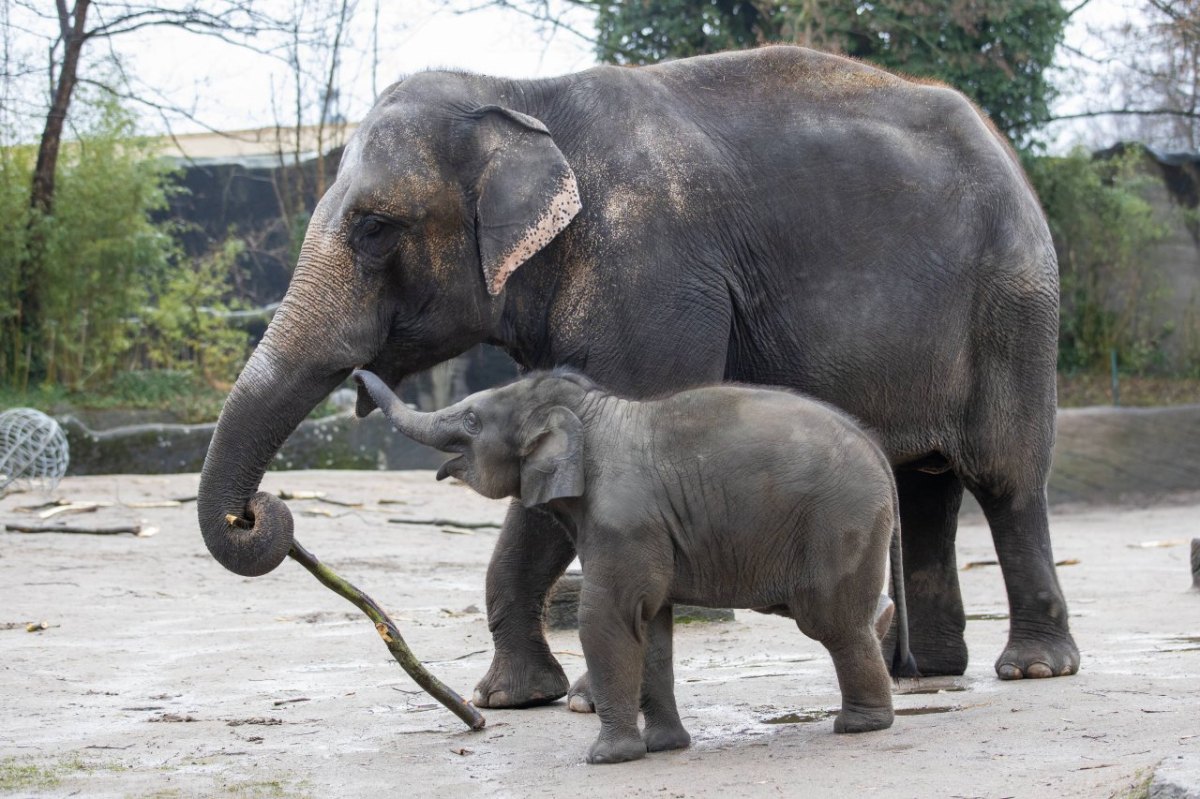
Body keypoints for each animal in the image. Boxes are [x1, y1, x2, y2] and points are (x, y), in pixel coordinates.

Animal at [196, 46, 1080, 705]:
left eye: (376, 229)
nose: (261, 513)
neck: (518, 95)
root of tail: (1006, 148)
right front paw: (513, 698)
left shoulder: (652, 274)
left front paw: (580, 698)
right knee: (924, 483)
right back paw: (925, 671)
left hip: (1014, 301)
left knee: (1005, 475)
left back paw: (1032, 666)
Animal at [355, 369, 916, 763]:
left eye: (472, 421)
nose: (357, 379)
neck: (593, 413)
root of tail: (880, 456)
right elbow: (650, 625)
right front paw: (665, 747)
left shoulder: (622, 520)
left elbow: (607, 617)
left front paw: (606, 759)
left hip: (837, 522)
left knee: (830, 620)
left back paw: (860, 726)